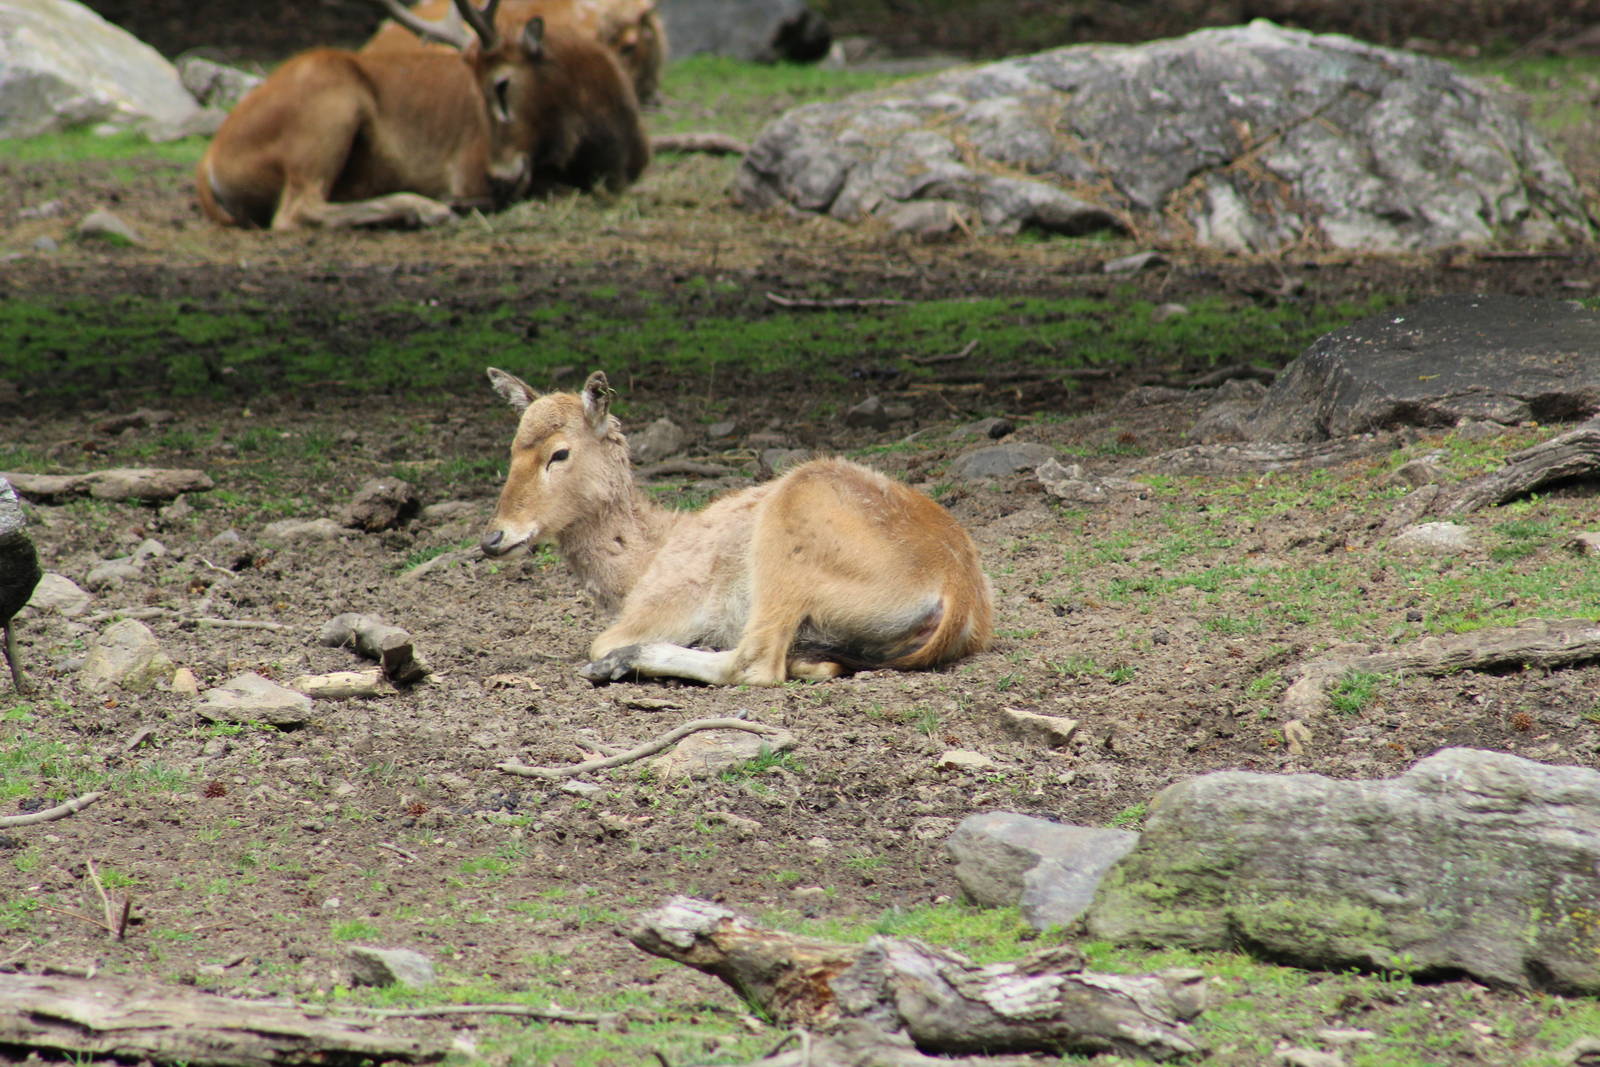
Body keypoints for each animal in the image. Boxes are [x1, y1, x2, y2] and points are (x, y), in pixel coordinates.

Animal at [480, 369, 995, 686]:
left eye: (559, 453)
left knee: (756, 663)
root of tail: (958, 590)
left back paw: (621, 664)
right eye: (513, 447)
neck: (642, 561)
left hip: (783, 555)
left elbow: (601, 638)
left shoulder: (671, 604)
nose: (493, 538)